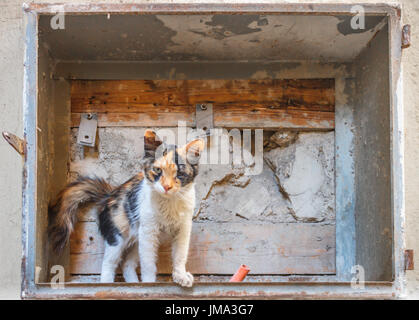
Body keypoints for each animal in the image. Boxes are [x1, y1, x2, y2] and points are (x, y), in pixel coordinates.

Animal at [49, 131, 205, 288]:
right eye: (157, 170)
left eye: (179, 174)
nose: (167, 187)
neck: (169, 202)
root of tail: (110, 194)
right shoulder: (148, 231)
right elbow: (148, 264)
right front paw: (149, 283)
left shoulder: (183, 228)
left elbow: (180, 255)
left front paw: (180, 276)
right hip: (117, 237)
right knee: (108, 264)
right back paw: (107, 284)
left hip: (137, 239)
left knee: (127, 265)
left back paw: (134, 284)